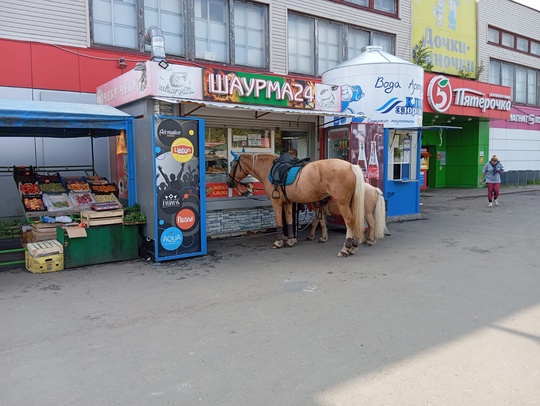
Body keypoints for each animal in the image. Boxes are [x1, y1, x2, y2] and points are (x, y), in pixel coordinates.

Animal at [228, 151, 368, 258]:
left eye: (233, 164)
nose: (229, 182)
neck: (268, 169)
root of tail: (351, 166)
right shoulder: (288, 202)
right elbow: (289, 220)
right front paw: (290, 240)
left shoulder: (276, 202)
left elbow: (279, 221)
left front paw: (278, 242)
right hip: (350, 202)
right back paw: (353, 247)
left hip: (342, 203)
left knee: (349, 222)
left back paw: (345, 249)